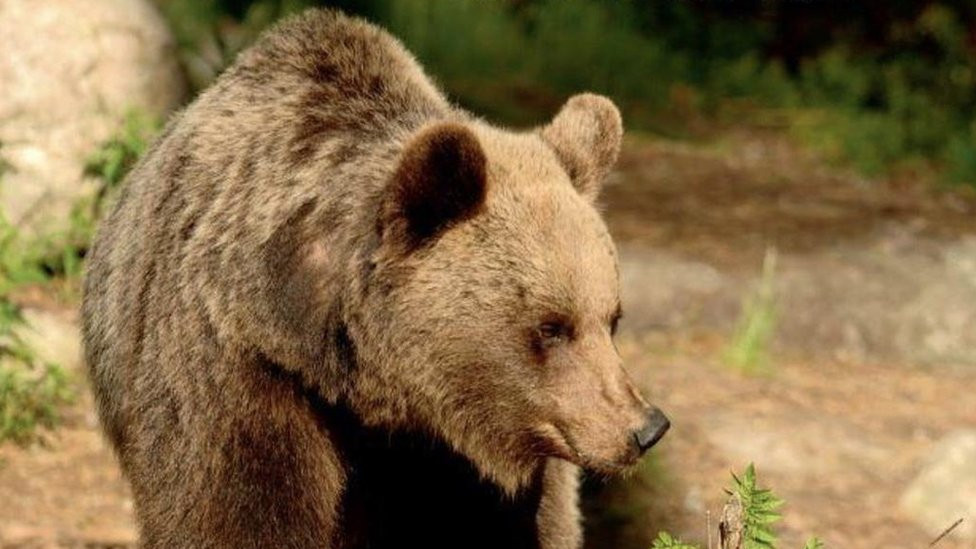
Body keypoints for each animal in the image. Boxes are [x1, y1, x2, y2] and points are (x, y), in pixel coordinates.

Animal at [81, 8, 669, 549]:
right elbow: (235, 515)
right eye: (551, 327)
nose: (645, 428)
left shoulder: (462, 462)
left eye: (612, 318)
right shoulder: (237, 372)